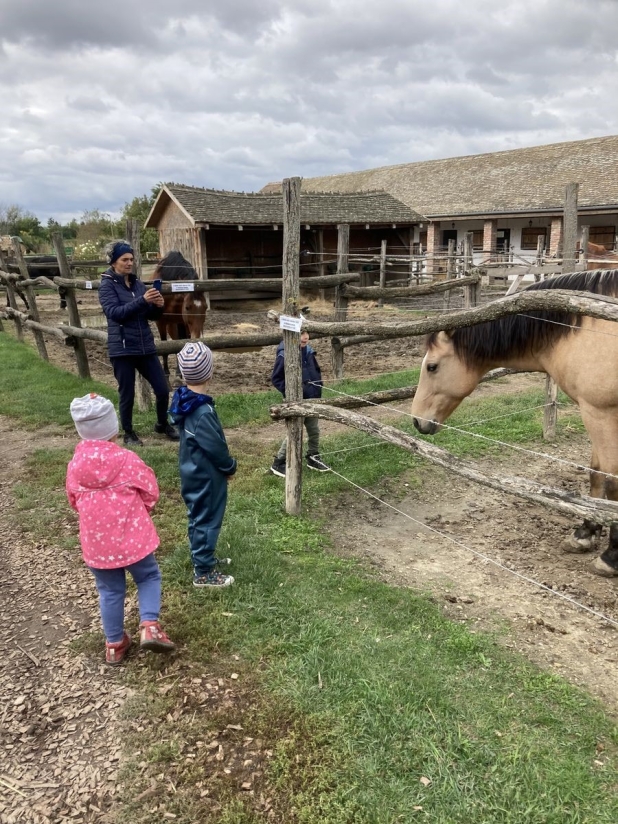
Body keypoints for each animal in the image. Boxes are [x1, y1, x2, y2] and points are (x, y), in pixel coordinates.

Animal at [153, 250, 207, 379]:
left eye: (205, 307)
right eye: (187, 307)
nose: (197, 337)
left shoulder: (182, 322)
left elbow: (181, 343)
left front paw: (180, 371)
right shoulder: (160, 322)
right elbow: (164, 345)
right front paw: (166, 372)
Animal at [411, 269, 618, 577]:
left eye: (432, 367)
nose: (416, 421)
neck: (586, 328)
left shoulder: (602, 413)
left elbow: (613, 483)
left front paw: (611, 556)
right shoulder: (594, 412)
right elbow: (597, 473)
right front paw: (585, 533)